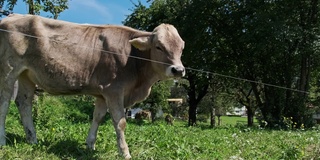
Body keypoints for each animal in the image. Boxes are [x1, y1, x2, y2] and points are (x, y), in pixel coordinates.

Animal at [0, 14, 185, 159]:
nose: (178, 70)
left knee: (24, 103)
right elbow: (120, 122)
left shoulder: (103, 93)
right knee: (4, 103)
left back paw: (33, 139)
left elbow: (98, 117)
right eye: (159, 46)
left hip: (26, 75)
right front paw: (125, 153)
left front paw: (90, 145)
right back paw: (2, 140)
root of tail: (11, 16)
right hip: (9, 70)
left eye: (182, 48)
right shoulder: (114, 91)